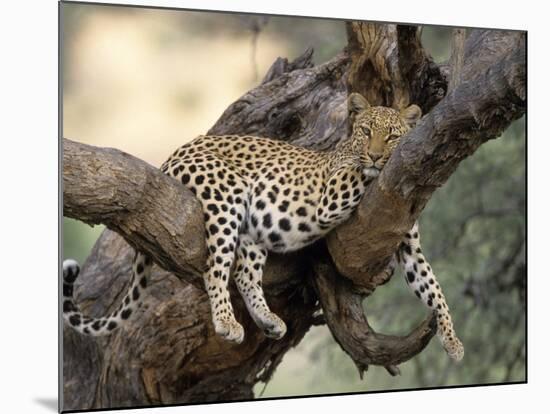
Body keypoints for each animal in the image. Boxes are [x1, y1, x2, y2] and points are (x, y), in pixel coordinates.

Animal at [61, 92, 466, 360]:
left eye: (392, 134)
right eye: (366, 132)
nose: (378, 154)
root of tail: (174, 153)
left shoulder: (409, 247)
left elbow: (434, 289)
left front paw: (452, 340)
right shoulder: (331, 195)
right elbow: (358, 174)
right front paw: (371, 165)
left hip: (253, 229)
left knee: (244, 273)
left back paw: (268, 320)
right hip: (225, 196)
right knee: (215, 268)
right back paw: (227, 322)